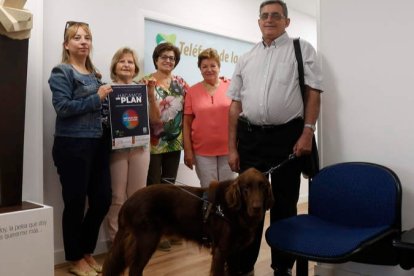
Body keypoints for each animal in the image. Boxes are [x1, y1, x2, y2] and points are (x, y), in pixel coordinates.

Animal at [102, 167, 274, 274]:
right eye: (246, 188)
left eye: (263, 187)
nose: (257, 207)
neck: (234, 211)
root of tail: (127, 202)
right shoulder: (221, 251)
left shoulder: (234, 252)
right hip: (146, 241)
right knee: (134, 269)